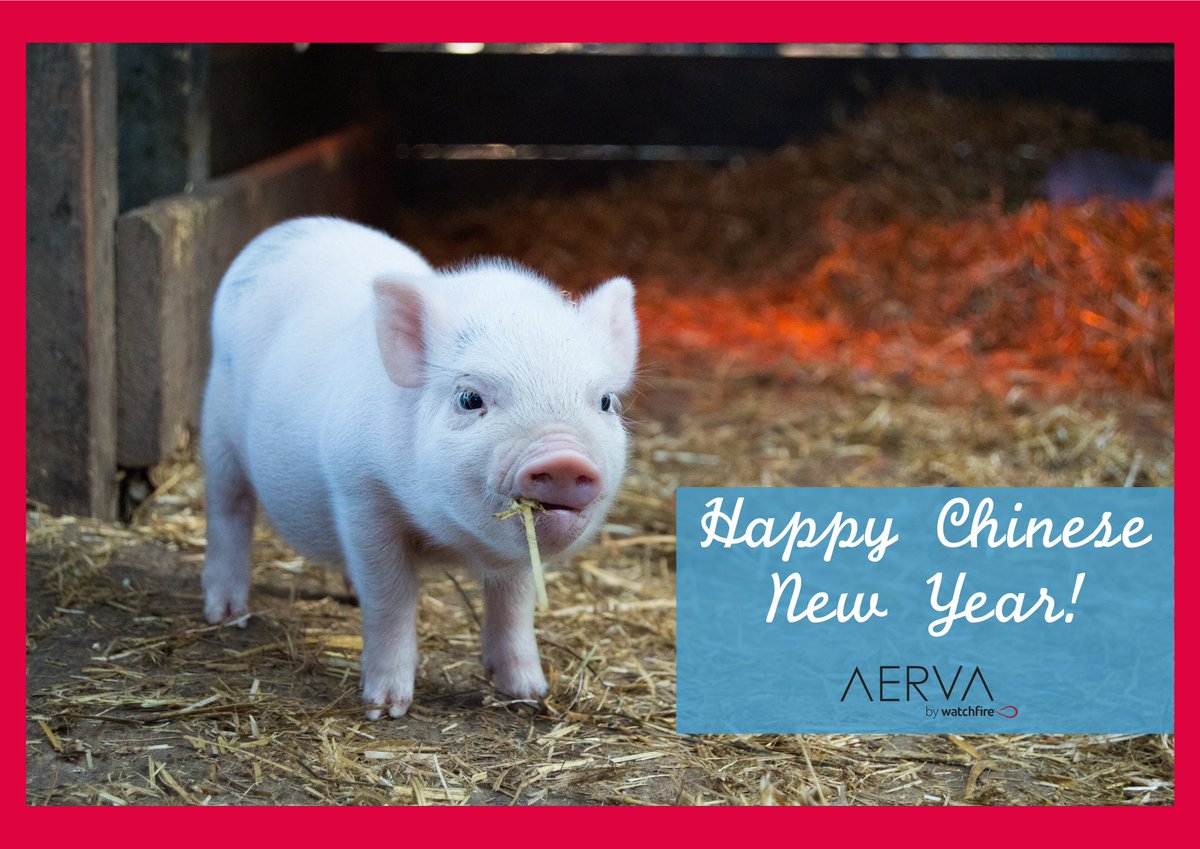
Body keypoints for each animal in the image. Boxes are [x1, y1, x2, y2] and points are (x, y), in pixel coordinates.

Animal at [200, 216, 637, 719]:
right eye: (470, 398)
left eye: (605, 402)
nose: (563, 457)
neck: (449, 540)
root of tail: (286, 229)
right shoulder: (360, 494)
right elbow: (390, 598)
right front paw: (385, 708)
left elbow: (514, 603)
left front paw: (529, 694)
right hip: (217, 429)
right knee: (228, 510)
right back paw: (226, 614)